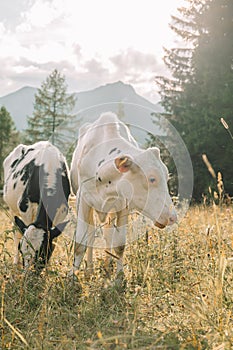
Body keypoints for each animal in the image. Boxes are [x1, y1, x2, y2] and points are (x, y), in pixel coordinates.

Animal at [70, 112, 177, 276]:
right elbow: (80, 243)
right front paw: (72, 277)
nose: (173, 217)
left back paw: (106, 267)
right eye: (152, 178)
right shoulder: (82, 200)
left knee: (108, 235)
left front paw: (119, 278)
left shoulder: (123, 205)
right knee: (91, 235)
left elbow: (119, 245)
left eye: (167, 177)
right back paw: (89, 270)